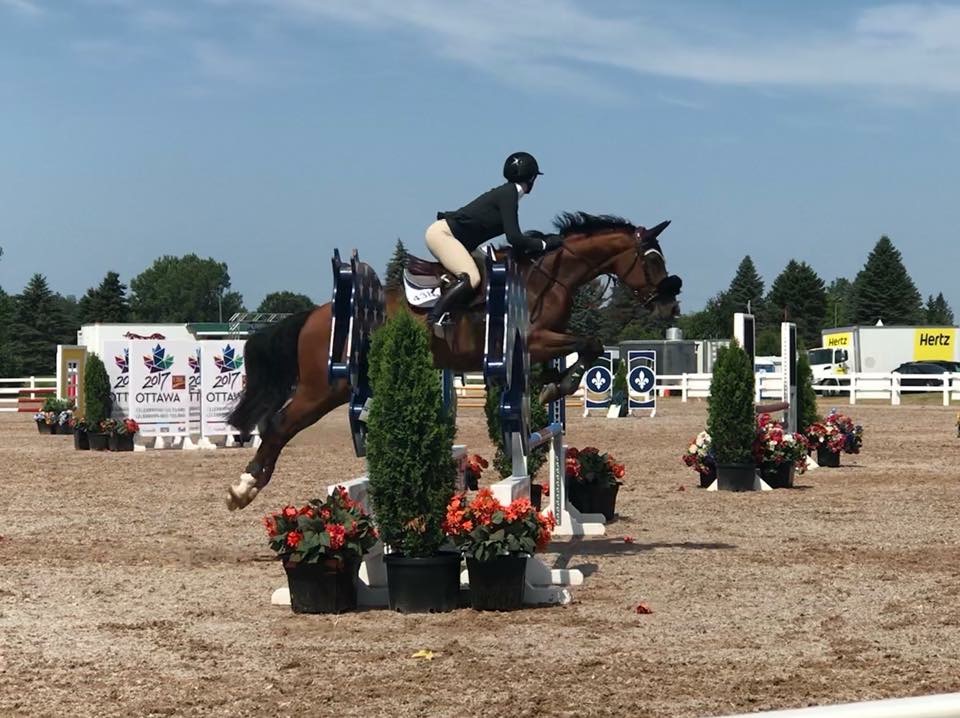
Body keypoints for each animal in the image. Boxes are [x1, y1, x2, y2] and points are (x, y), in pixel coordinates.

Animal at [224, 211, 682, 510]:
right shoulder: (534, 340)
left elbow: (591, 348)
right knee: (278, 425)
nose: (669, 306)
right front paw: (558, 386)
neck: (547, 276)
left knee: (277, 426)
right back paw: (243, 489)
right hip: (324, 387)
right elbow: (590, 343)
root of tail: (317, 314)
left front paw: (556, 385)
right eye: (653, 259)